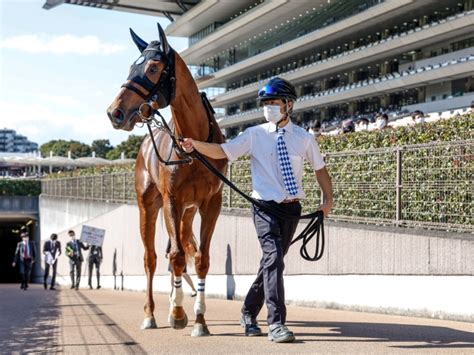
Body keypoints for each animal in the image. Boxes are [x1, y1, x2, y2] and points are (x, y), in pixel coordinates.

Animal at [106, 23, 228, 338]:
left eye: (152, 68)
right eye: (130, 67)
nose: (114, 112)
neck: (194, 145)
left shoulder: (211, 202)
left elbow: (200, 258)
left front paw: (199, 320)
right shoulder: (171, 199)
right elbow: (174, 257)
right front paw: (177, 314)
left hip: (187, 212)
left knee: (183, 247)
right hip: (148, 206)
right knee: (152, 258)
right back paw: (151, 314)